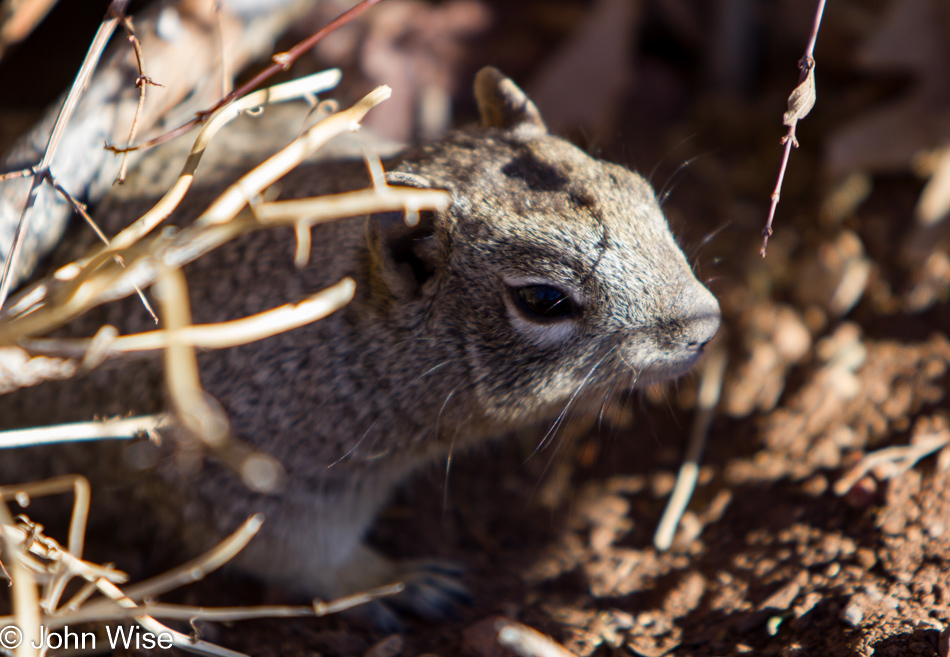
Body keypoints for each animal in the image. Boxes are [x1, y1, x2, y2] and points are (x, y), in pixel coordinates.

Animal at [0, 69, 712, 624]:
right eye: (543, 300)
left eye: (640, 190)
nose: (706, 325)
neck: (357, 332)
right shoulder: (251, 475)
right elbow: (305, 556)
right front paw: (397, 580)